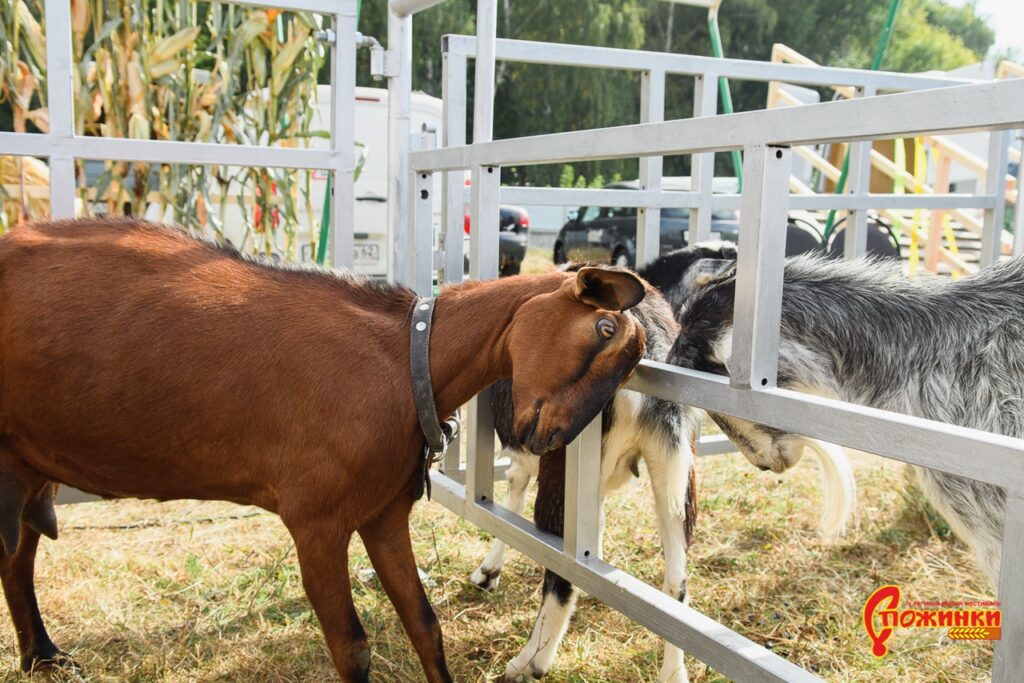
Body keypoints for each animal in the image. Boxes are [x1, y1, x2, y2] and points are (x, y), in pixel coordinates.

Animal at [0, 220, 643, 683]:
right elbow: (351, 649)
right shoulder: (316, 522)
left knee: (18, 558)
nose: (551, 438)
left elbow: (424, 623)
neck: (407, 359)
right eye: (605, 329)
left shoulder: (383, 513)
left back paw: (43, 656)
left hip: (31, 465)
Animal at [473, 248, 856, 679]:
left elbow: (515, 493)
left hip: (566, 466)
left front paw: (488, 572)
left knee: (561, 573)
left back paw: (528, 662)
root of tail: (648, 335)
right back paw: (673, 673)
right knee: (677, 584)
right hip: (677, 476)